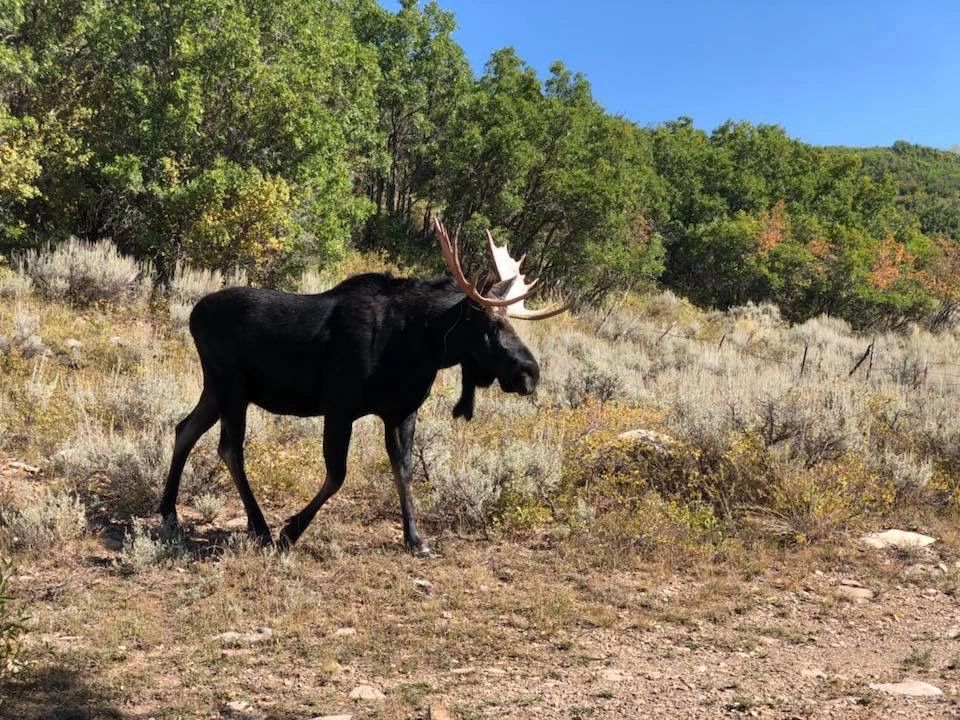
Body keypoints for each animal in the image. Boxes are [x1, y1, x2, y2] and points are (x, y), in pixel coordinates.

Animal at [160, 219, 568, 556]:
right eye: (489, 325)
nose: (530, 372)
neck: (419, 348)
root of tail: (194, 314)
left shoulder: (401, 411)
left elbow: (403, 469)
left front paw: (416, 539)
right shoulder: (339, 407)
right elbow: (337, 474)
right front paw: (291, 530)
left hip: (216, 389)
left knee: (185, 429)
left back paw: (169, 512)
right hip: (232, 387)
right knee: (229, 448)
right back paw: (258, 526)